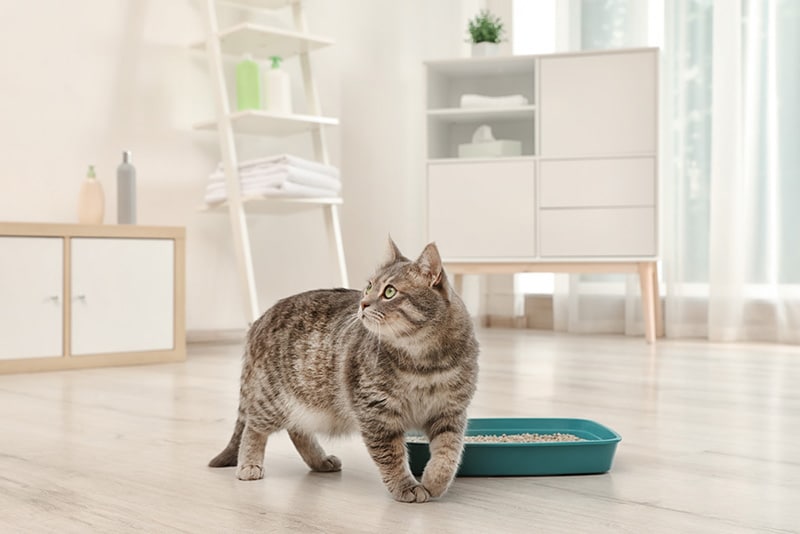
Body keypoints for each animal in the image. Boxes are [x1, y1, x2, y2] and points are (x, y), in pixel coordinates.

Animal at [209, 241, 478, 504]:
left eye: (390, 292)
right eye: (369, 286)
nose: (363, 303)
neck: (425, 362)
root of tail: (260, 320)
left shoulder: (450, 412)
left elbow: (448, 453)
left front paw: (435, 481)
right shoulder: (377, 414)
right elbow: (391, 456)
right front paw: (406, 486)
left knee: (297, 431)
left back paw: (319, 461)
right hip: (273, 400)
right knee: (253, 427)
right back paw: (249, 463)